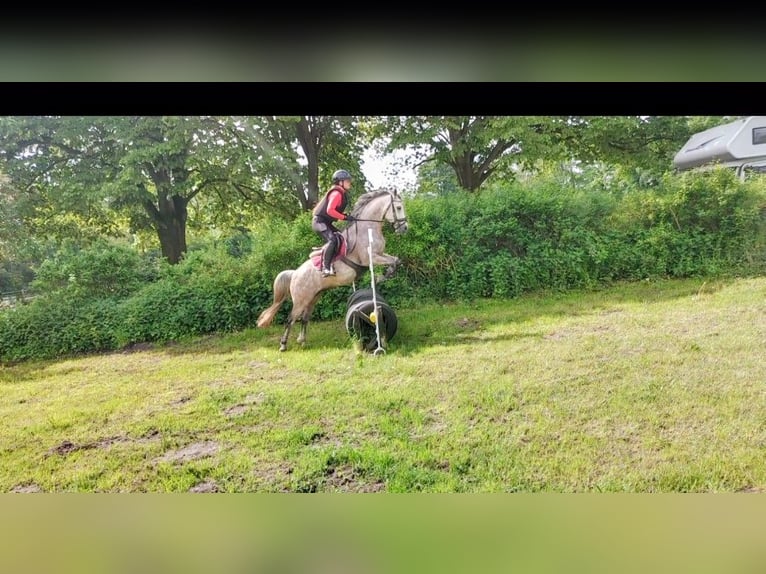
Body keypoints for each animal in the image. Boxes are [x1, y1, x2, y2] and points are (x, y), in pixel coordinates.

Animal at [256, 187, 409, 352]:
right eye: (398, 207)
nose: (405, 228)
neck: (367, 228)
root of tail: (295, 274)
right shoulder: (371, 258)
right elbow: (393, 262)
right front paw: (380, 277)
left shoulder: (380, 254)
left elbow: (396, 260)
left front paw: (382, 276)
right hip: (300, 300)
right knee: (290, 319)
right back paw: (283, 345)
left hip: (313, 298)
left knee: (304, 318)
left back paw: (302, 341)